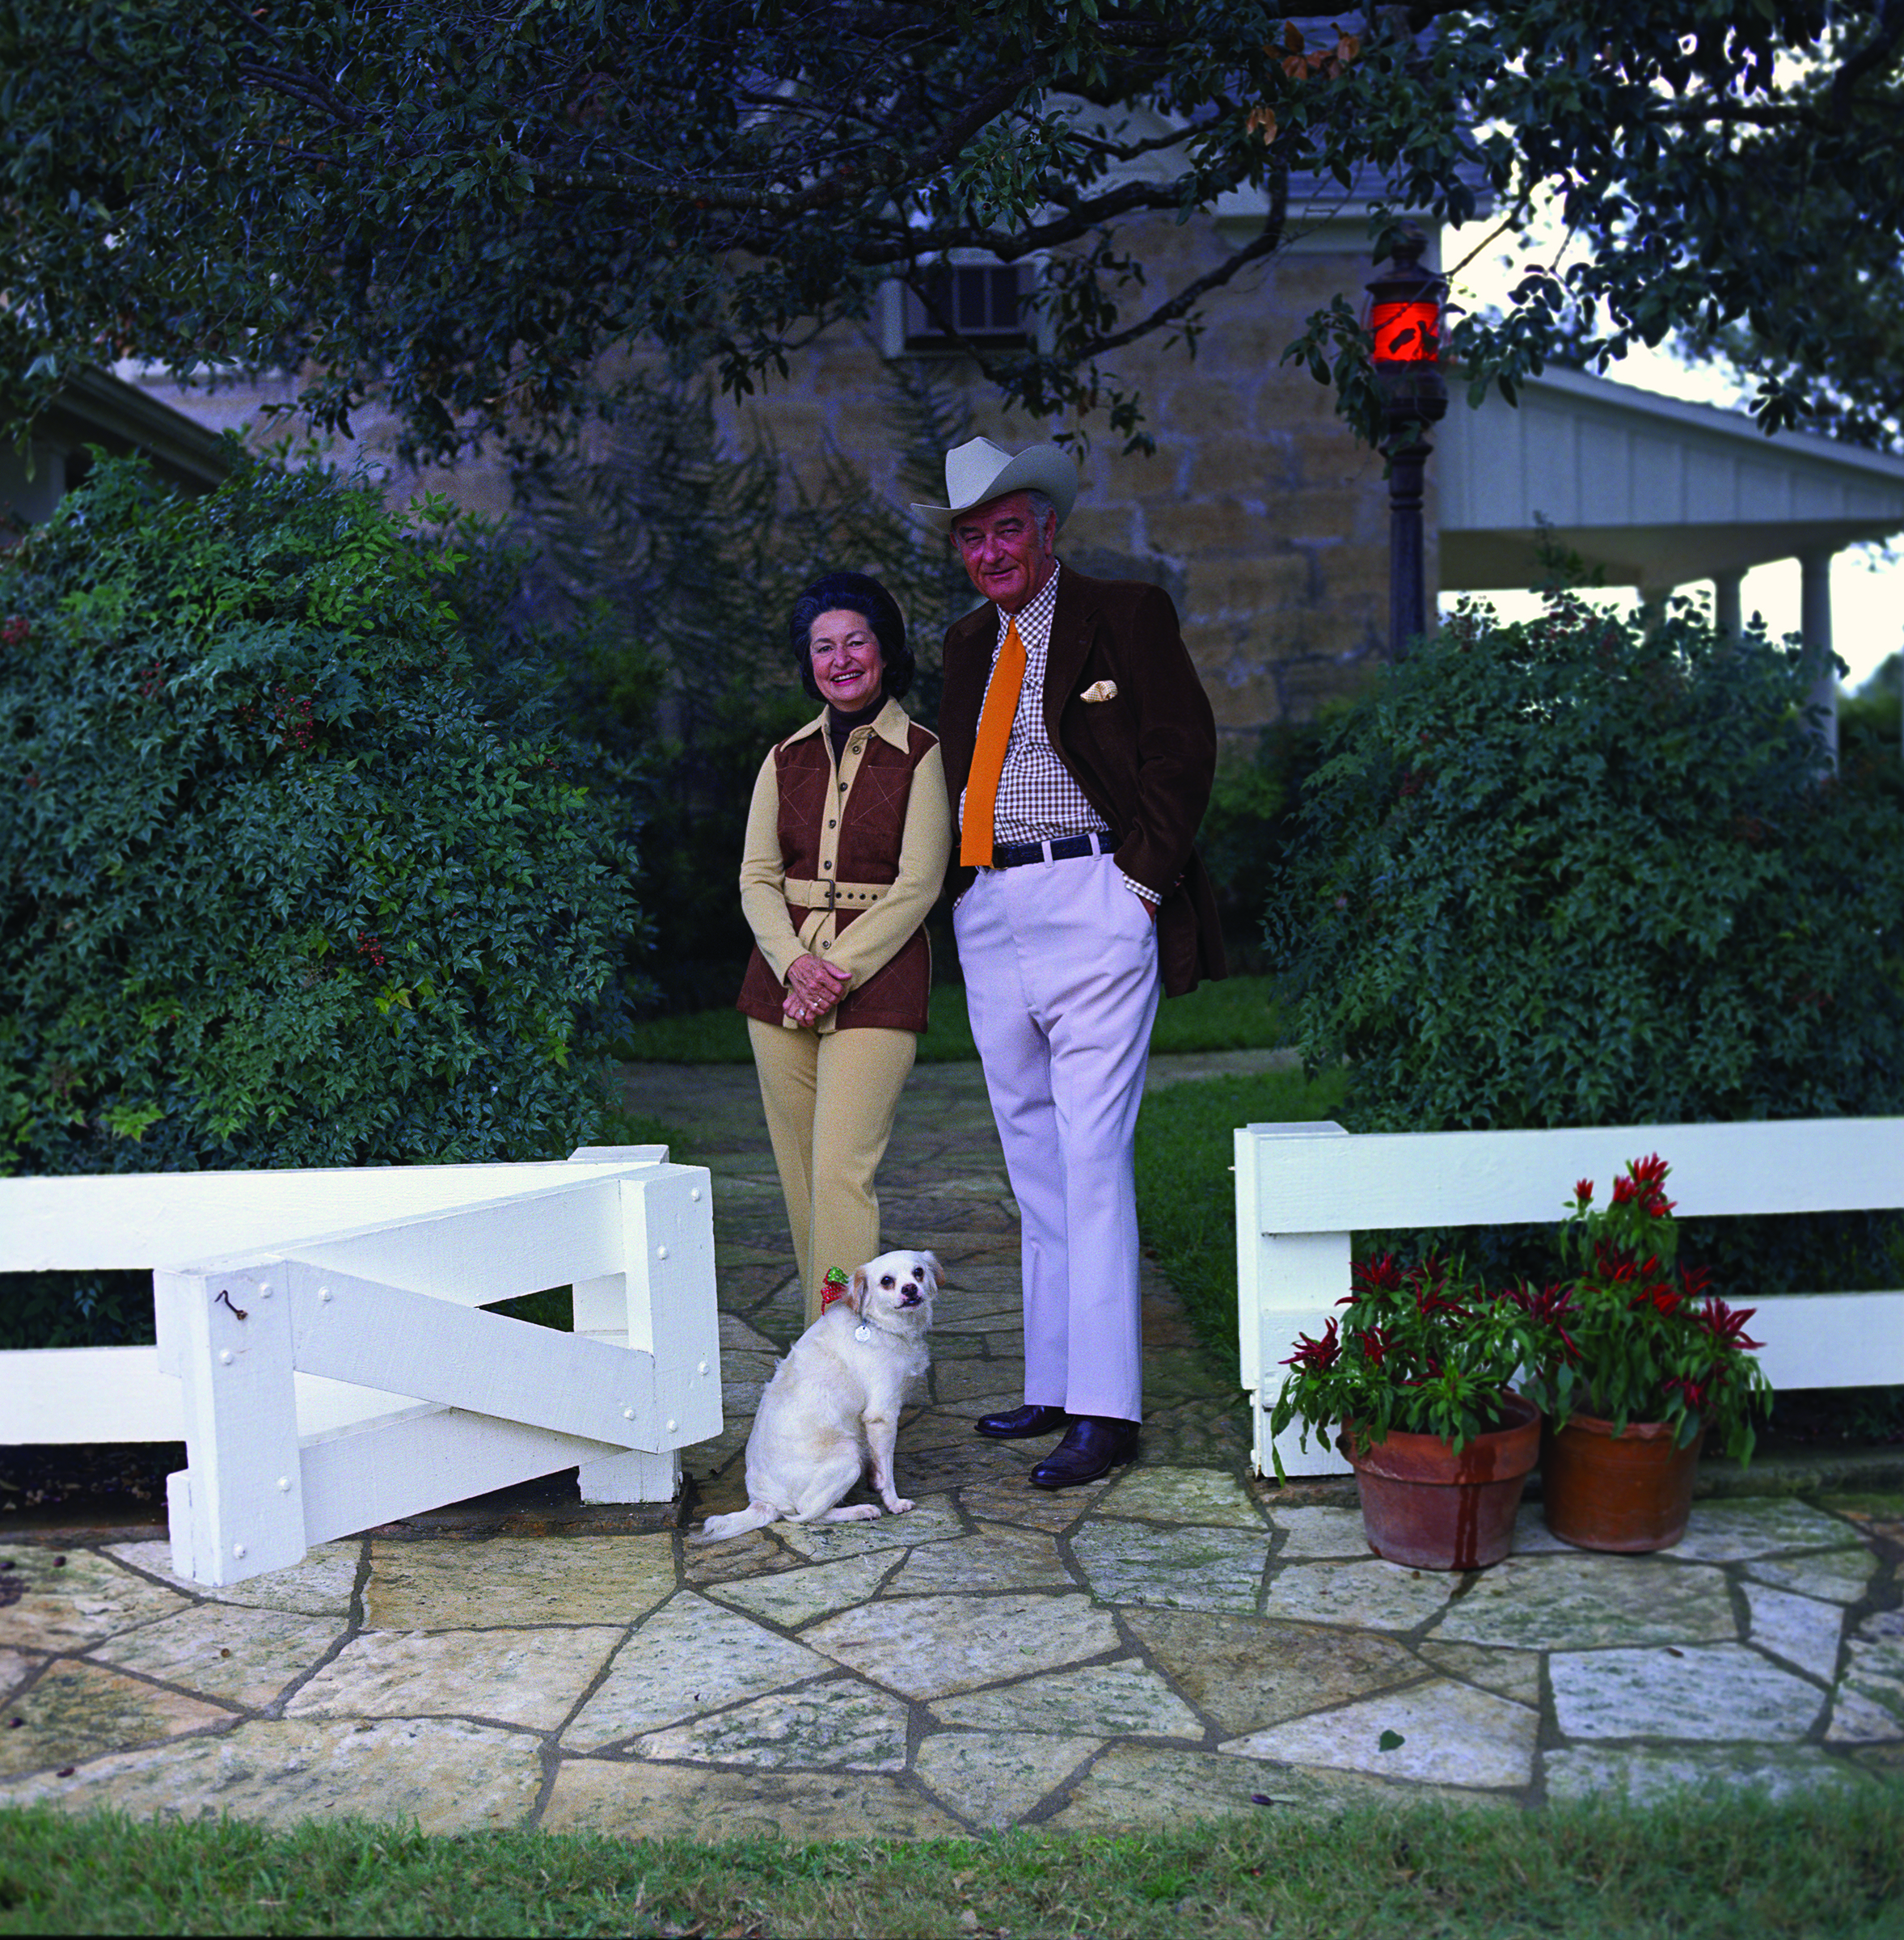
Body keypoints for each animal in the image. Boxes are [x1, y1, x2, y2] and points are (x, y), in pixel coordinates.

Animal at [694, 1242, 939, 1544]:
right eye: (886, 1281)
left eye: (918, 1272)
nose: (910, 1289)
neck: (879, 1325)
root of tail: (763, 1502)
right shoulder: (882, 1416)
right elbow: (888, 1470)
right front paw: (893, 1502)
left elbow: (877, 1462)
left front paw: (874, 1481)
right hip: (847, 1455)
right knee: (807, 1515)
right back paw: (860, 1510)